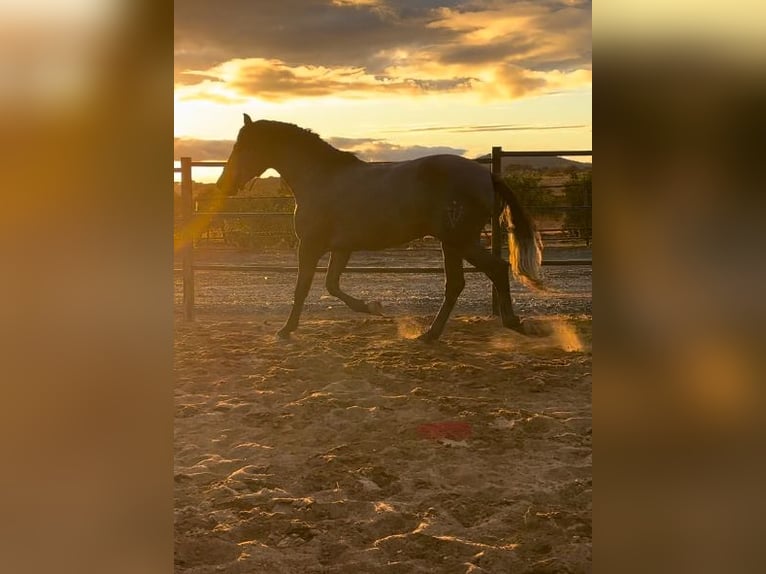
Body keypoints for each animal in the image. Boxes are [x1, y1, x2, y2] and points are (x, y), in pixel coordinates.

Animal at [218, 116, 544, 342]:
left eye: (243, 147)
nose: (225, 185)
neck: (321, 178)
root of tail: (486, 175)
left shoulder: (309, 245)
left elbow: (302, 288)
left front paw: (286, 330)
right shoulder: (341, 248)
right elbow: (332, 285)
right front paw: (373, 307)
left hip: (460, 240)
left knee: (495, 269)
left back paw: (511, 324)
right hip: (451, 242)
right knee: (457, 284)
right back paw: (430, 334)